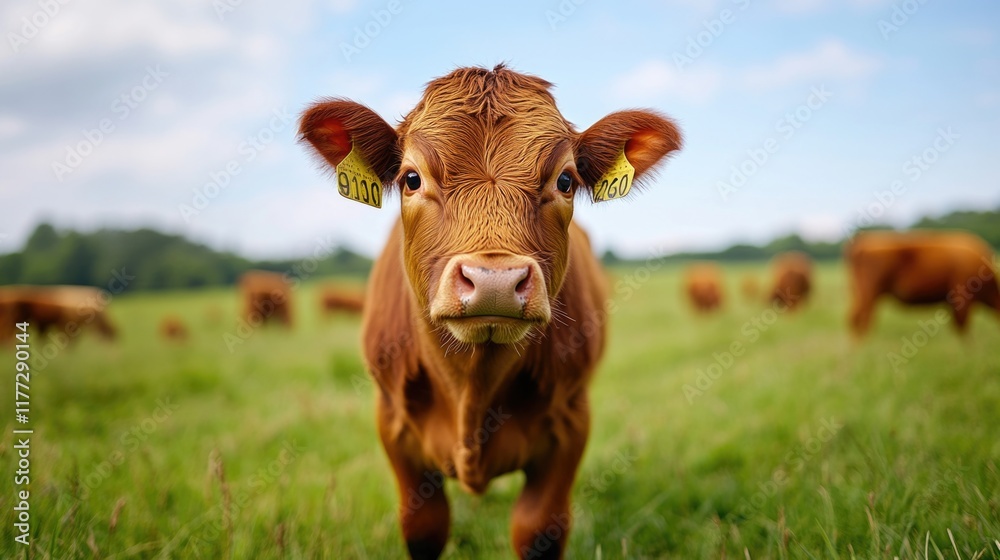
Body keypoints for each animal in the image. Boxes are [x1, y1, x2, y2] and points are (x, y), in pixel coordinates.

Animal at [299, 65, 682, 559]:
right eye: (411, 178)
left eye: (565, 181)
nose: (494, 281)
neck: (472, 387)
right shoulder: (393, 423)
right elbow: (423, 528)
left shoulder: (571, 421)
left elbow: (538, 530)